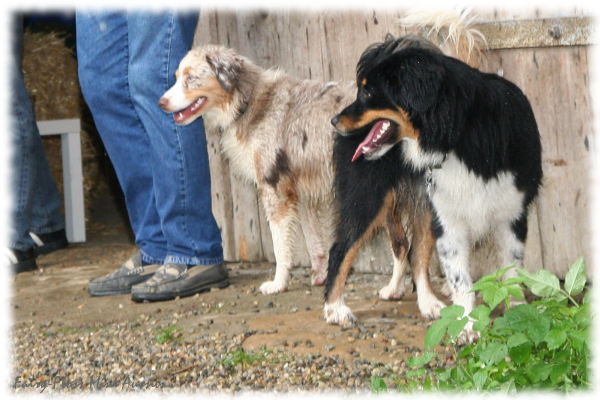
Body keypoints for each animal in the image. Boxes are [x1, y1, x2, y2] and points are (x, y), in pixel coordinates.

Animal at [328, 36, 544, 340]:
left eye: (368, 92)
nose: (334, 121)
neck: (456, 136)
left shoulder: (512, 214)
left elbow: (511, 271)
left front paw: (517, 312)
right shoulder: (448, 218)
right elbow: (460, 278)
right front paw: (467, 325)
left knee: (410, 249)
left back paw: (425, 300)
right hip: (367, 197)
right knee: (342, 249)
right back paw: (335, 308)